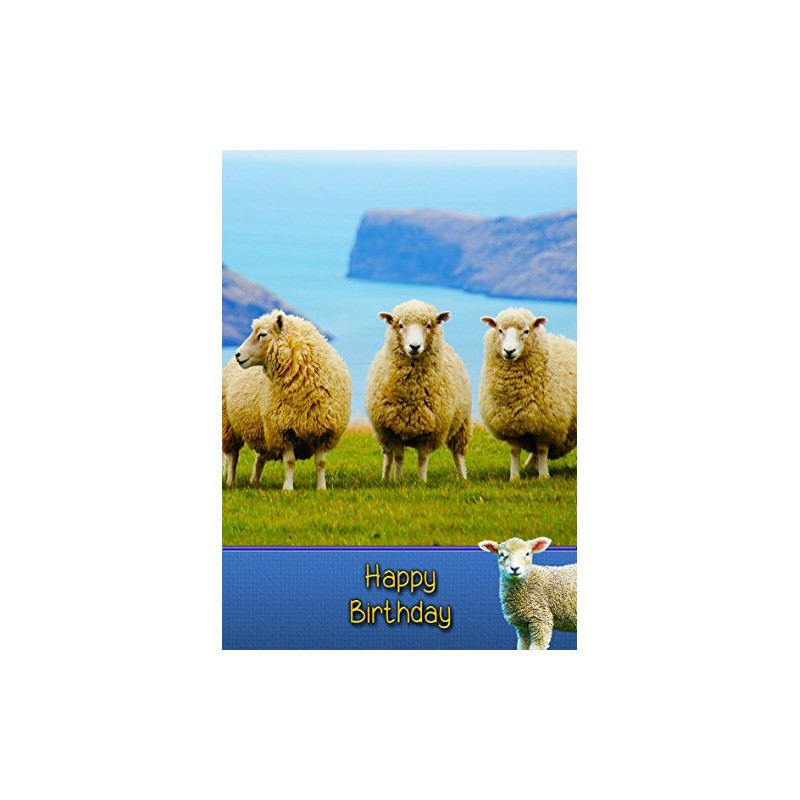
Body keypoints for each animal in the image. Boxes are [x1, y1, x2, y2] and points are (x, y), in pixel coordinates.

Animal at [222, 309, 351, 491]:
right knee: (233, 456)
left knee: (259, 457)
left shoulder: (323, 430)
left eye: (262, 334)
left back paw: (254, 482)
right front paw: (288, 489)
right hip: (230, 426)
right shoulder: (283, 430)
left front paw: (321, 488)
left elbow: (321, 463)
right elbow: (290, 462)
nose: (237, 354)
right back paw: (231, 482)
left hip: (261, 430)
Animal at [365, 299, 472, 482]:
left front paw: (422, 481)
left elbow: (422, 459)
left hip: (462, 424)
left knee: (458, 454)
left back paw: (463, 478)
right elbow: (398, 457)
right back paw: (385, 478)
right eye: (400, 325)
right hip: (382, 434)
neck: (412, 392)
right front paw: (398, 480)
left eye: (428, 325)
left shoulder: (430, 432)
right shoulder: (392, 430)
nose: (414, 347)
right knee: (388, 456)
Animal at [479, 307, 577, 480]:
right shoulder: (511, 423)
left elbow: (542, 450)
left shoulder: (546, 423)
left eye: (526, 331)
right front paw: (514, 477)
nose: (509, 351)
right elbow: (514, 451)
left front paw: (543, 476)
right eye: (500, 330)